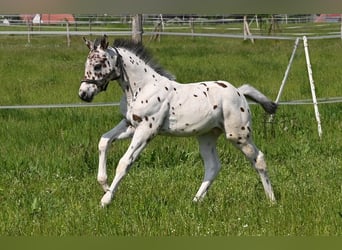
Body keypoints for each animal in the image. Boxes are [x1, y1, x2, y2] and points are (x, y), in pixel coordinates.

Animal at [78, 35, 278, 207]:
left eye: (97, 65)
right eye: (86, 64)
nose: (83, 94)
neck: (143, 88)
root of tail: (239, 92)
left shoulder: (147, 130)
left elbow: (124, 162)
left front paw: (106, 200)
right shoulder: (130, 125)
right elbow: (104, 141)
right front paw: (104, 184)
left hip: (238, 135)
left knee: (259, 159)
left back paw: (272, 200)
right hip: (207, 136)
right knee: (213, 166)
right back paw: (196, 201)